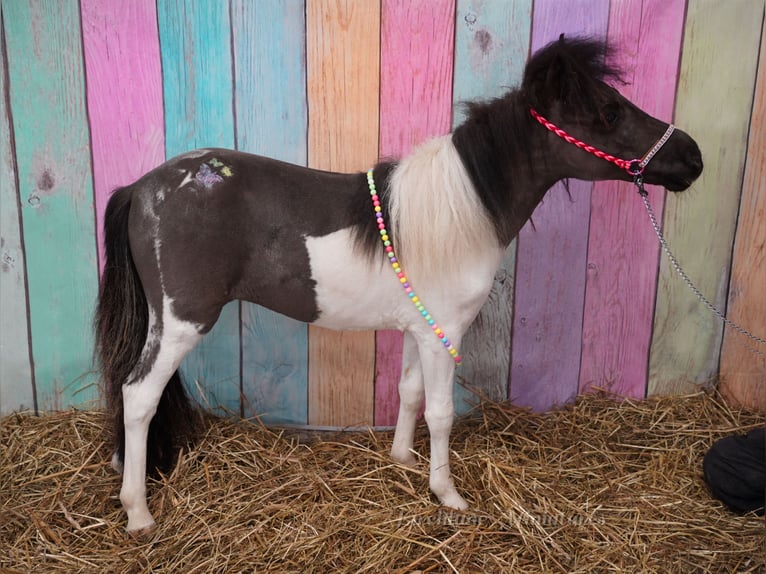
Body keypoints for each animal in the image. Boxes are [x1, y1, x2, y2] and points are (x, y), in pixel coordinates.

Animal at [95, 36, 703, 534]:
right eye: (609, 111)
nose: (693, 157)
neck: (461, 212)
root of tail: (142, 187)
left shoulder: (419, 327)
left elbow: (409, 393)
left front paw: (404, 463)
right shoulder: (445, 334)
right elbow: (441, 412)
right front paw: (448, 494)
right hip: (182, 322)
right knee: (139, 396)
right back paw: (138, 512)